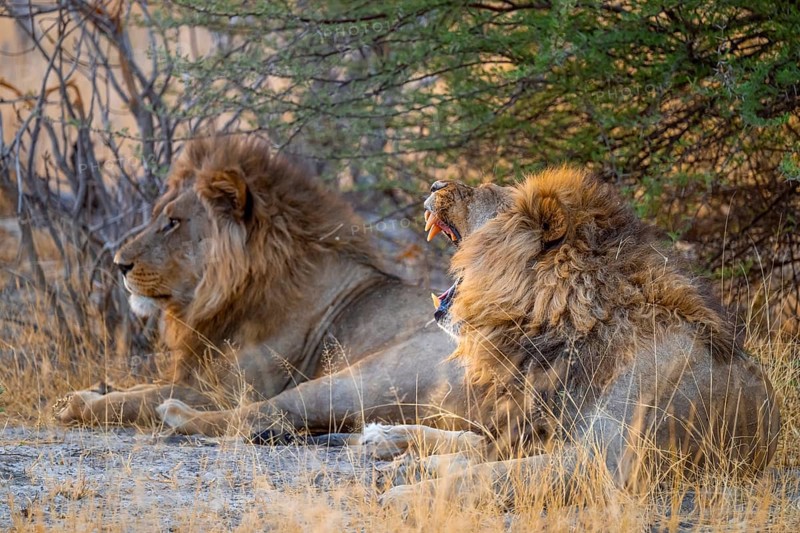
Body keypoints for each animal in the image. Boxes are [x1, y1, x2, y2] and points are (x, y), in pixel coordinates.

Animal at [54, 135, 473, 438]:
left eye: (173, 222)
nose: (118, 264)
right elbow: (135, 387)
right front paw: (94, 389)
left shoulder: (226, 389)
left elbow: (140, 397)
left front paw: (78, 404)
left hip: (367, 374)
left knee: (262, 415)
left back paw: (177, 416)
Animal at [371, 168, 780, 507]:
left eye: (485, 193)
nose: (435, 184)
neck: (561, 329)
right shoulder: (538, 429)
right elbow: (468, 448)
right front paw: (397, 452)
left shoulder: (601, 464)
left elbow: (486, 474)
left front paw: (405, 494)